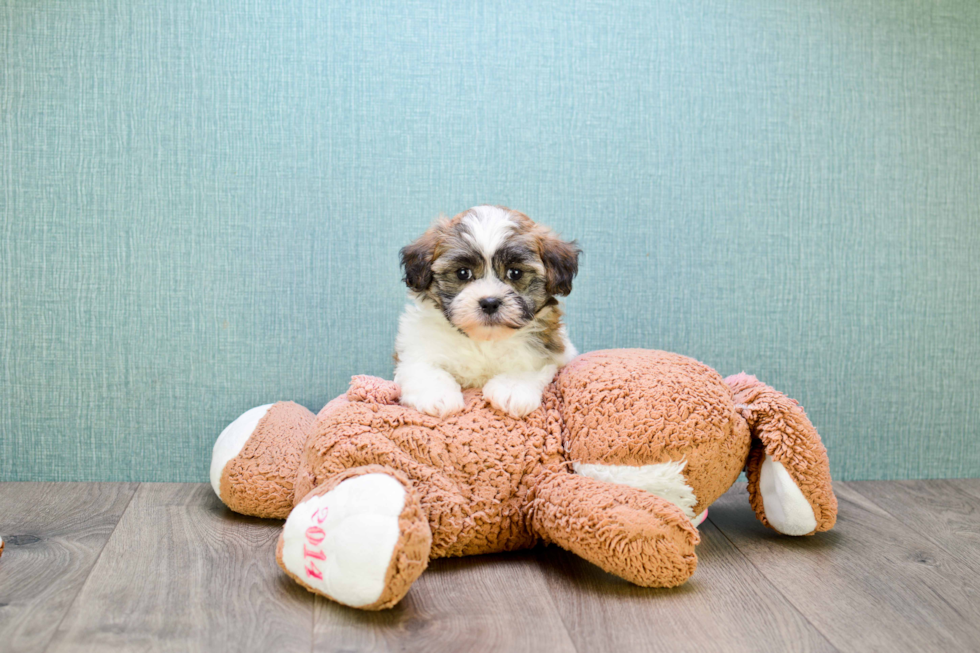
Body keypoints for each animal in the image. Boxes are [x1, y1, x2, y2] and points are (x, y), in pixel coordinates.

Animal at [394, 204, 580, 418]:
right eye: (463, 273)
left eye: (515, 273)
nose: (490, 302)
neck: (484, 341)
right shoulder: (416, 345)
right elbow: (423, 367)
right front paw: (437, 395)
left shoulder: (553, 350)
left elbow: (531, 363)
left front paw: (512, 388)